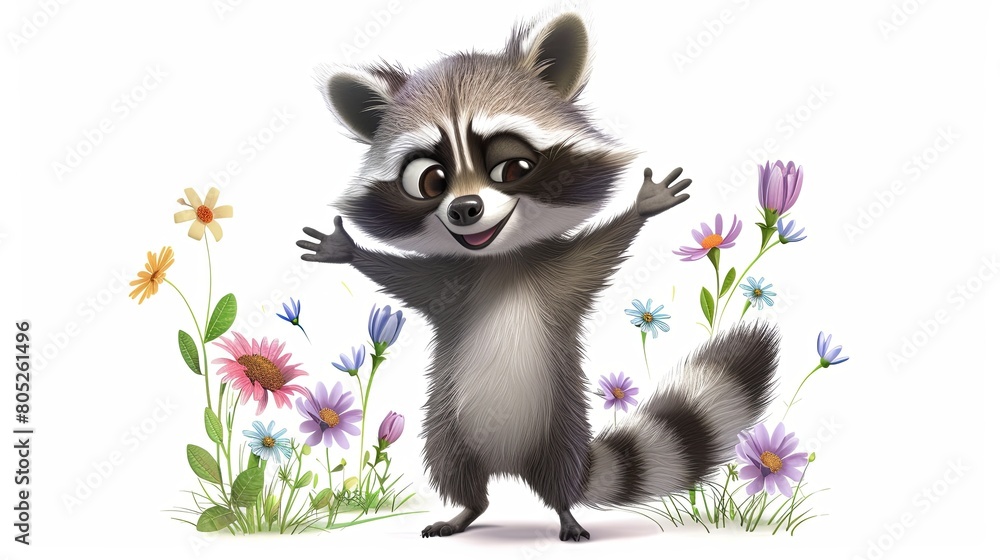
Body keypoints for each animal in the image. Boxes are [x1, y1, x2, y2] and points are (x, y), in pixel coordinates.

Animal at [299, 12, 779, 541]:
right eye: (429, 181)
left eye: (512, 167)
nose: (465, 209)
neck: (500, 259)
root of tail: (510, 464)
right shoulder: (448, 285)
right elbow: (402, 275)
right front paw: (346, 249)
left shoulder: (565, 273)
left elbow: (604, 245)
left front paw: (643, 205)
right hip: (447, 425)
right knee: (459, 476)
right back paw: (465, 509)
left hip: (561, 425)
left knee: (558, 481)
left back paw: (565, 511)